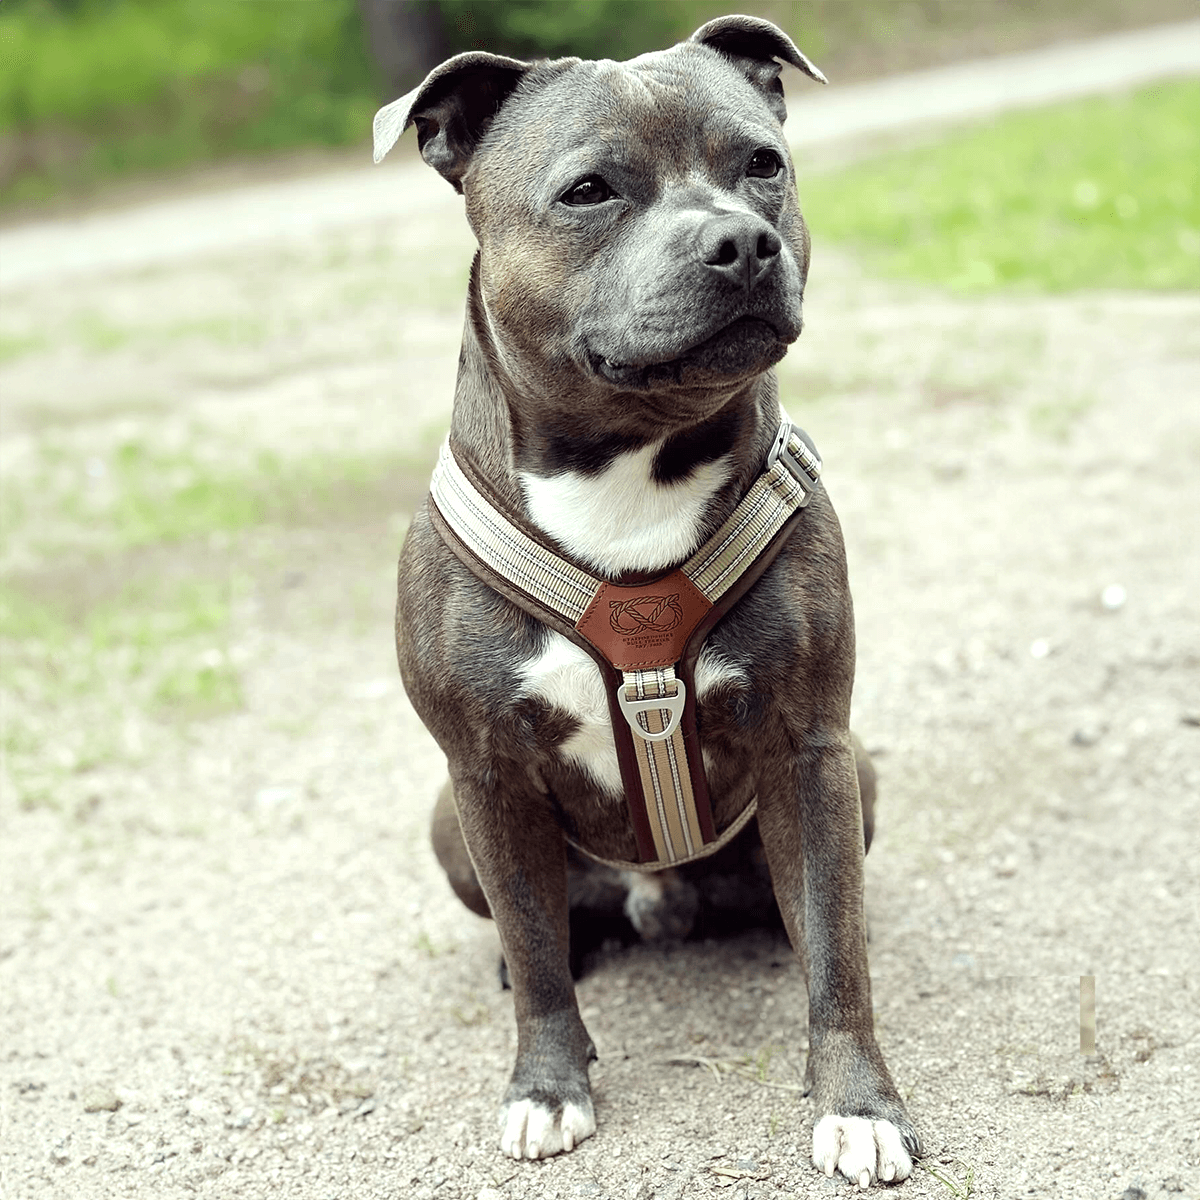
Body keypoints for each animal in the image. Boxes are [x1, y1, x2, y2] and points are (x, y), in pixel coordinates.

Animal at [379, 11, 921, 1190]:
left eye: (763, 165)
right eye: (588, 191)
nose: (742, 243)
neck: (632, 470)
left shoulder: (810, 746)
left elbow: (839, 956)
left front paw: (860, 1106)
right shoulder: (485, 771)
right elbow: (538, 954)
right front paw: (546, 1087)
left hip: (854, 774)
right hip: (447, 820)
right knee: (540, 929)